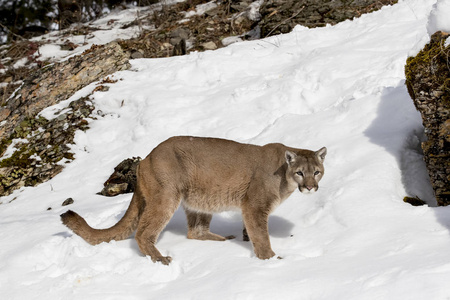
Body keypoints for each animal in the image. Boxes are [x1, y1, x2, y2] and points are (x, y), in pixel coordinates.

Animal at [60, 136, 326, 264]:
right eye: (300, 172)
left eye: (317, 171)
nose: (310, 187)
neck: (284, 176)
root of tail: (146, 158)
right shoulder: (254, 206)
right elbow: (261, 236)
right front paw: (271, 259)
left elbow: (252, 232)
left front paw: (247, 240)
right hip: (167, 196)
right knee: (143, 232)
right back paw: (160, 258)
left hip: (201, 198)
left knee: (194, 231)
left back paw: (221, 239)